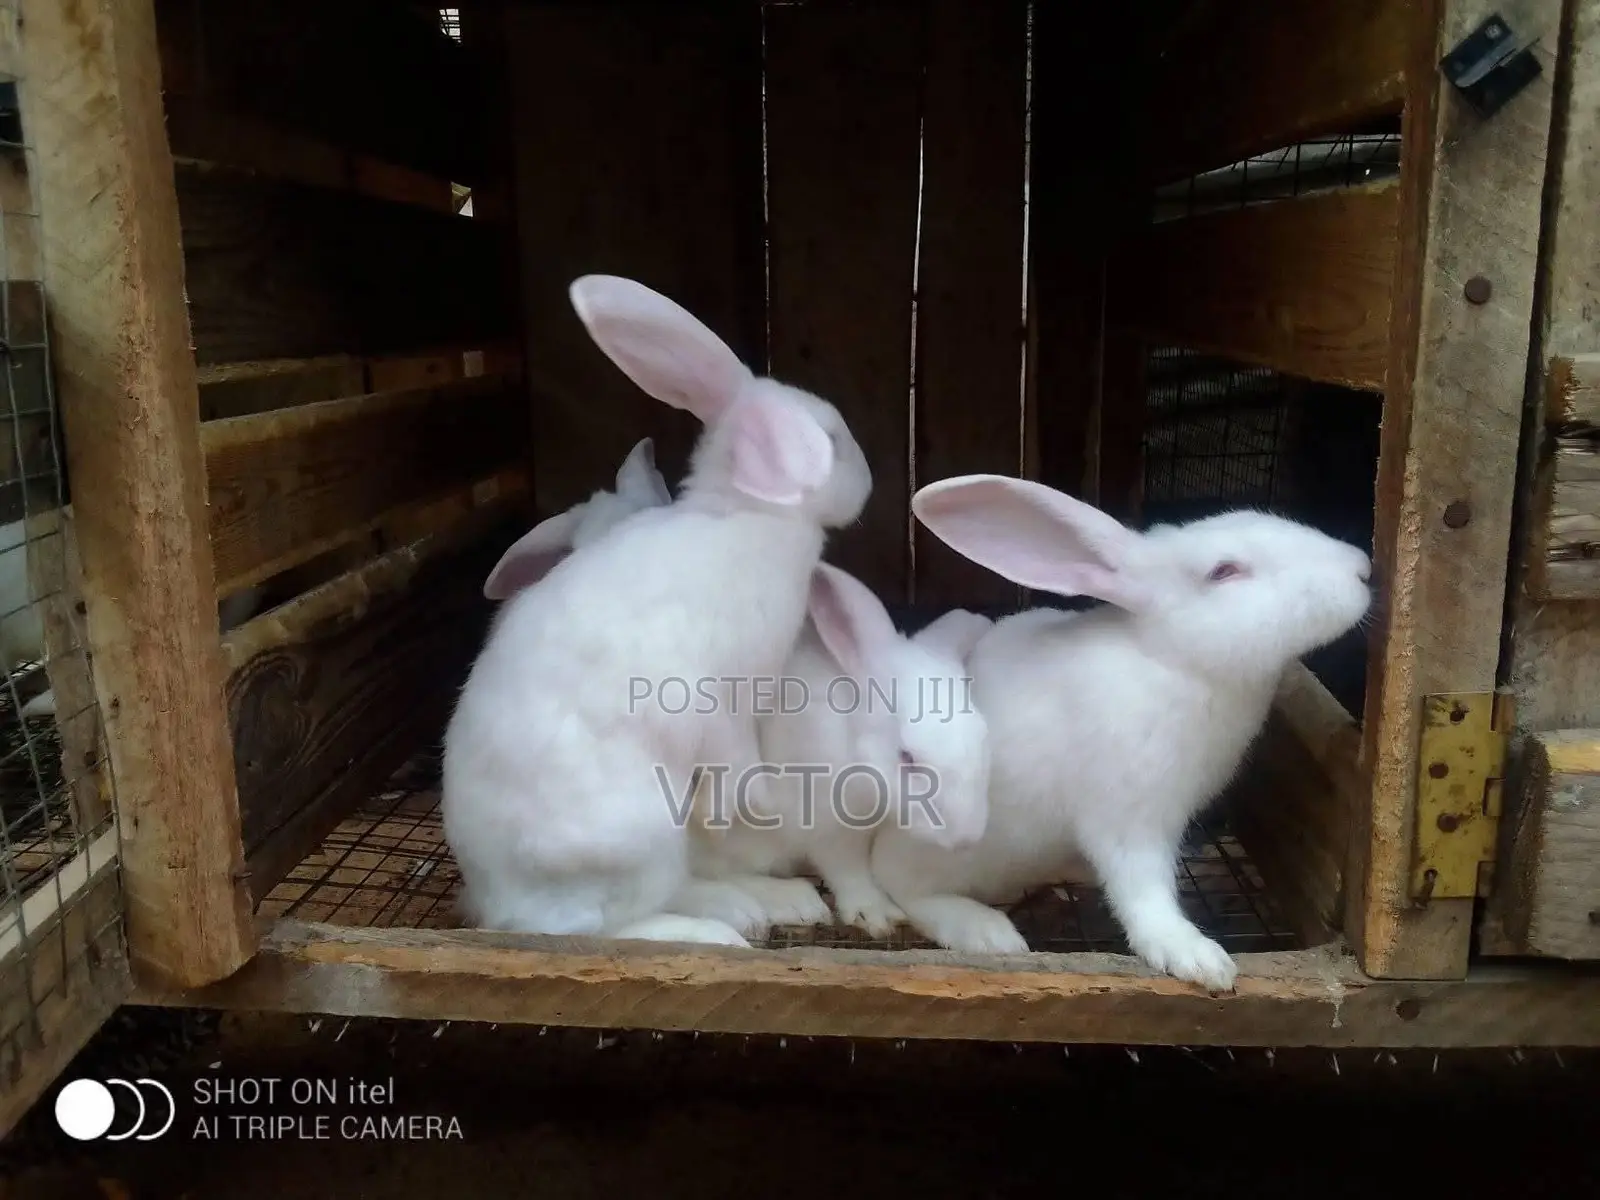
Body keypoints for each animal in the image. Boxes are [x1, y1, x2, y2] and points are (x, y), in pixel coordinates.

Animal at [689, 563, 993, 938]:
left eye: (982, 735)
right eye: (906, 757)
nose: (967, 838)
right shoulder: (827, 825)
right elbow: (849, 870)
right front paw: (876, 915)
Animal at [868, 473, 1371, 993]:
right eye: (1224, 571)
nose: (1362, 568)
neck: (1171, 660)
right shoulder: (1130, 816)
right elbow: (1144, 891)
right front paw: (1198, 959)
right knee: (900, 882)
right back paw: (986, 932)